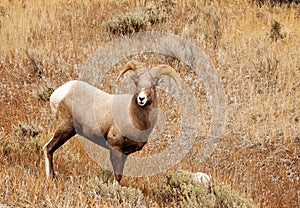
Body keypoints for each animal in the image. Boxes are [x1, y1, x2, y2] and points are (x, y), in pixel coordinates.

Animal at [42, 60, 180, 182]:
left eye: (153, 85)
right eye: (136, 83)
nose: (141, 99)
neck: (134, 118)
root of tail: (58, 93)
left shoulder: (125, 154)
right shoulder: (115, 149)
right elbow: (117, 176)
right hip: (65, 129)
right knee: (48, 148)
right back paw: (50, 178)